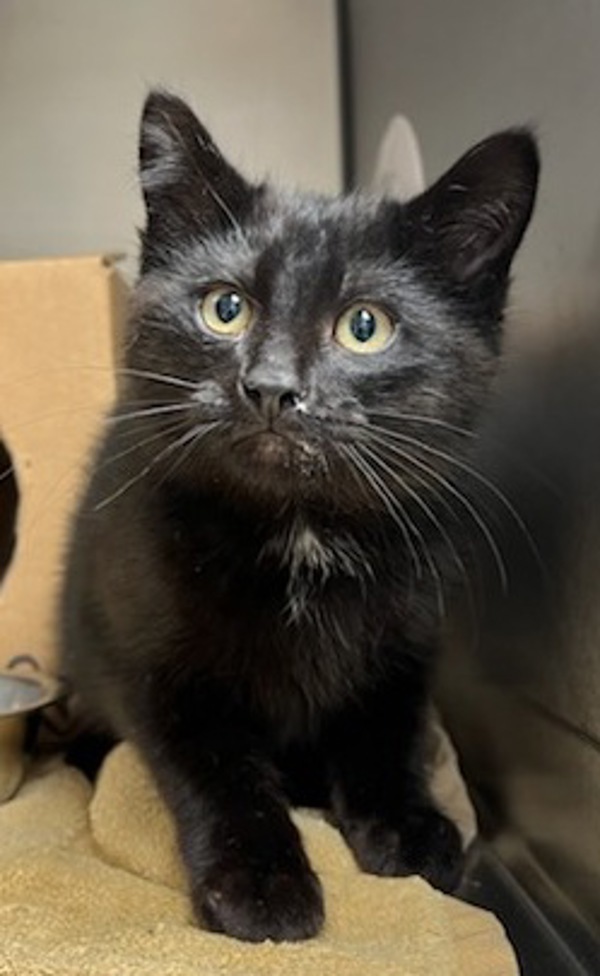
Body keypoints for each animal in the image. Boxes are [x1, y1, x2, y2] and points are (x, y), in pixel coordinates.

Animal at [61, 93, 540, 944]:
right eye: (225, 308)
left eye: (365, 325)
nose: (271, 386)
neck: (301, 529)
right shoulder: (153, 662)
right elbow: (218, 769)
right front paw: (262, 882)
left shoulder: (407, 637)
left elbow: (386, 727)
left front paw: (408, 826)